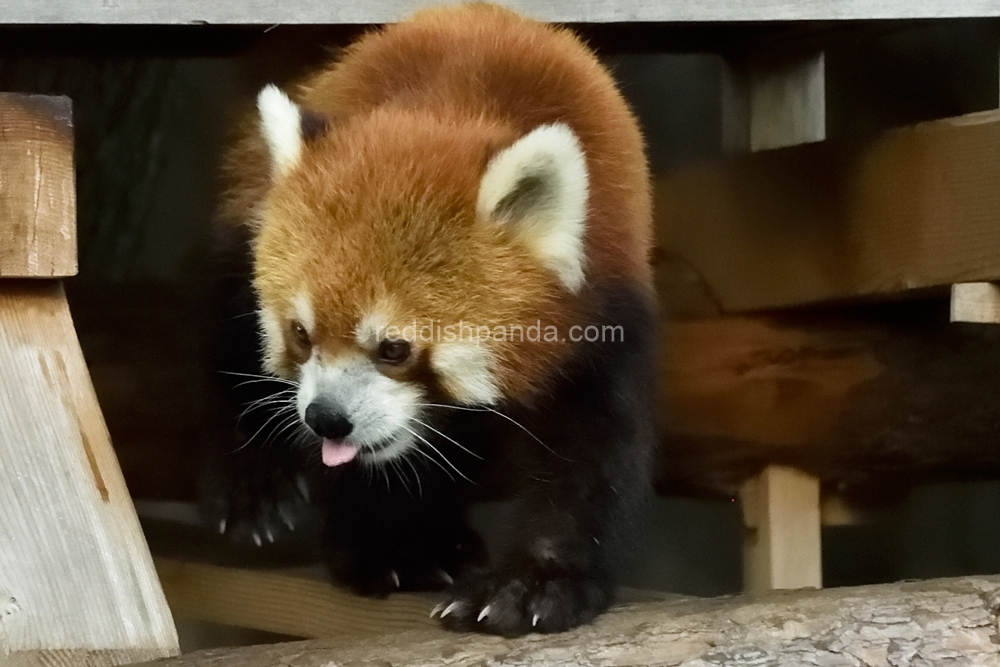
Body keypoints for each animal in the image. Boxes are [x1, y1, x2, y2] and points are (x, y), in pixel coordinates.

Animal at [213, 1, 656, 636]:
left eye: (394, 348)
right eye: (301, 334)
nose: (326, 419)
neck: (455, 106)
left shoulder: (606, 310)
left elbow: (593, 454)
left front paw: (536, 583)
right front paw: (386, 547)